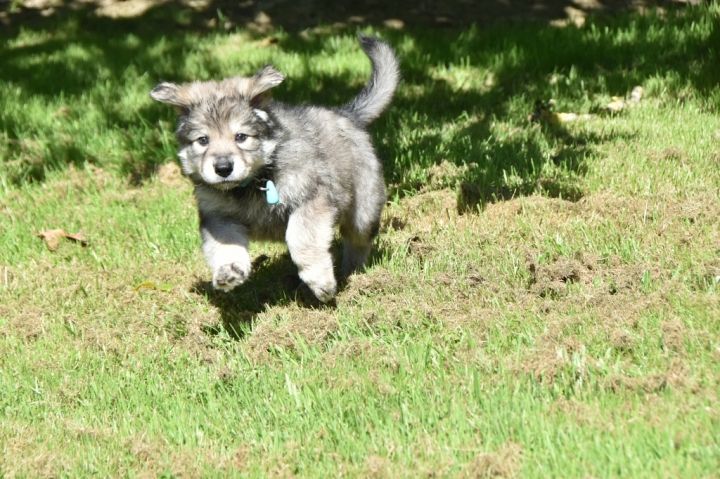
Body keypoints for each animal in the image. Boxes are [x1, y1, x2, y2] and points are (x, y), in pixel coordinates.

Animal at [150, 36, 399, 302]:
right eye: (203, 140)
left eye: (241, 137)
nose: (223, 168)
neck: (253, 183)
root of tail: (347, 114)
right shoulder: (219, 217)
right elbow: (226, 245)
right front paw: (229, 271)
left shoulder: (312, 199)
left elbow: (301, 238)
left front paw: (320, 281)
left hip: (364, 207)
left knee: (359, 239)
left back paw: (353, 271)